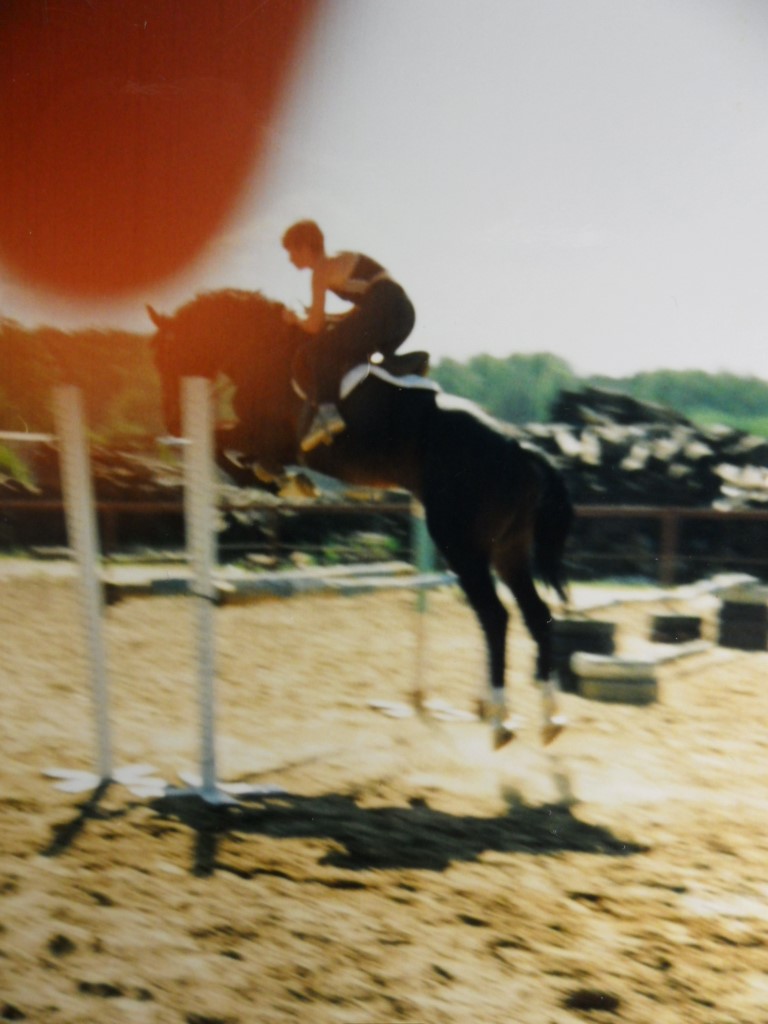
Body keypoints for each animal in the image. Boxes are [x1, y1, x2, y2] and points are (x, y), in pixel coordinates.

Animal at [148, 288, 574, 747]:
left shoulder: (273, 437)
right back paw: (549, 718)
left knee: (495, 616)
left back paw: (500, 720)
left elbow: (222, 447)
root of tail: (520, 448)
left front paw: (282, 482)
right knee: (536, 614)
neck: (266, 351)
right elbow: (229, 449)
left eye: (170, 353)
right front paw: (280, 479)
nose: (171, 420)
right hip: (508, 549)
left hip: (461, 545)